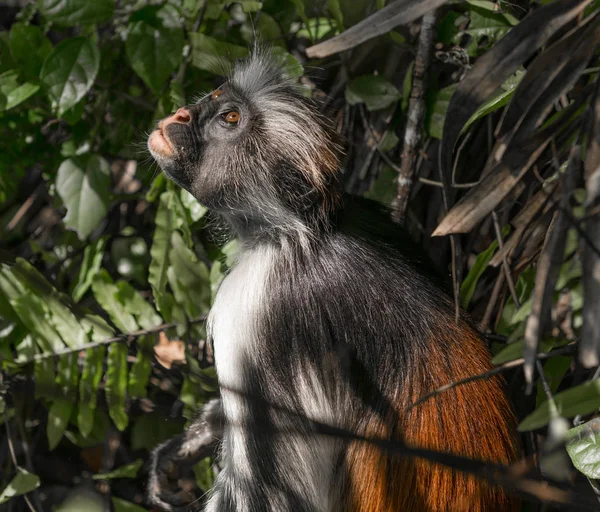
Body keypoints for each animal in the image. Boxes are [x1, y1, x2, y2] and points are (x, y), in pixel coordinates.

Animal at [146, 49, 520, 512]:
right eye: (213, 99)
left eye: (229, 118)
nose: (181, 114)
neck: (302, 232)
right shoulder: (374, 217)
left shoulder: (252, 305)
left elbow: (274, 497)